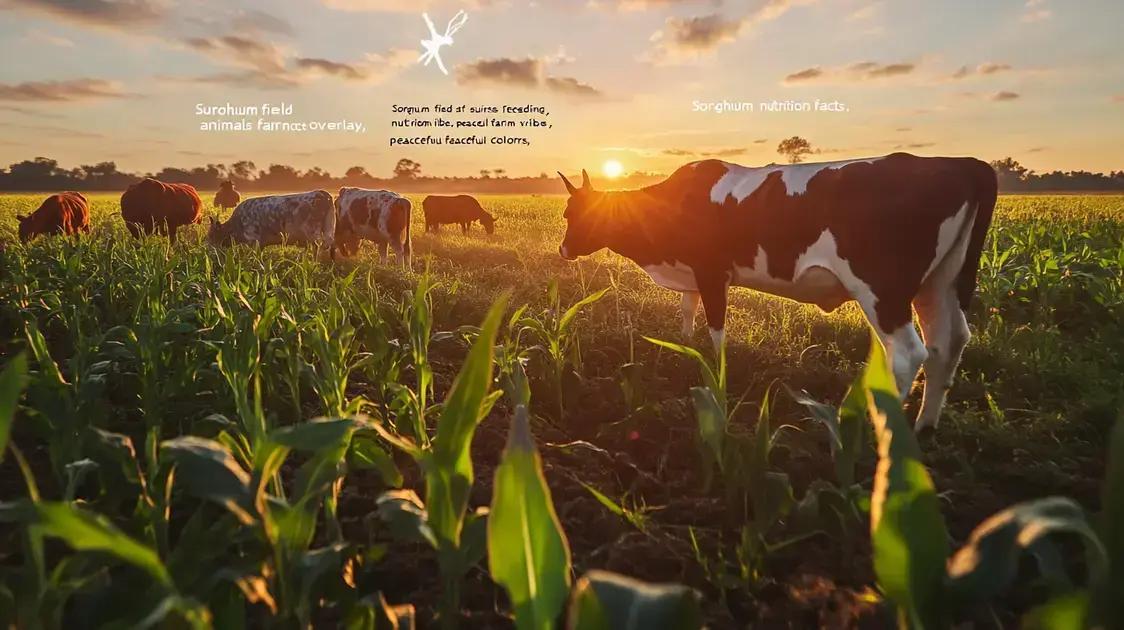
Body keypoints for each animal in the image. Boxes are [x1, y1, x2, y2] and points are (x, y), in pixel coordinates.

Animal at [206, 187, 334, 257]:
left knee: (320, 245)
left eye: (211, 235)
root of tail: (322, 193)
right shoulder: (261, 243)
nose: (208, 250)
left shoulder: (253, 239)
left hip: (312, 231)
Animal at [557, 153, 998, 429]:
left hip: (882, 289)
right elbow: (687, 309)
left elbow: (716, 326)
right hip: (939, 283)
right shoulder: (694, 273)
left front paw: (717, 371)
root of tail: (963, 164)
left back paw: (880, 432)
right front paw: (683, 345)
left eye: (570, 213)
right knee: (948, 343)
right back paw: (925, 425)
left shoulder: (712, 271)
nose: (562, 250)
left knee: (908, 352)